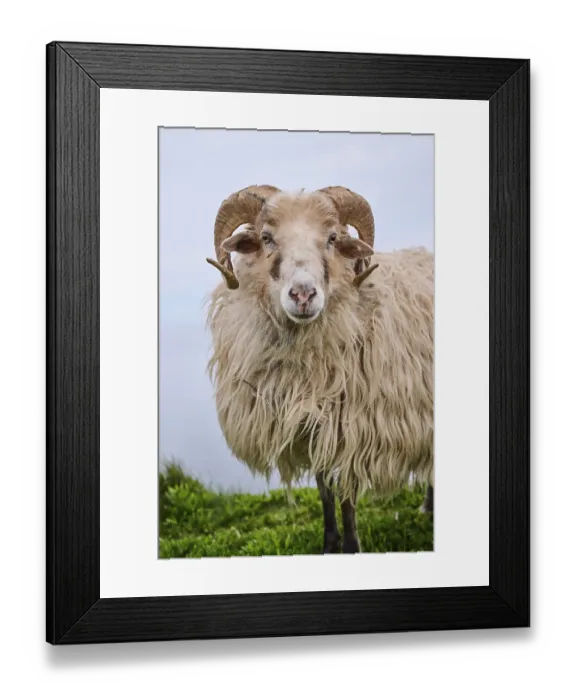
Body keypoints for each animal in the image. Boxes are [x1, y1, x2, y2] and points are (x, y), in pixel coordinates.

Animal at [205, 185, 434, 554]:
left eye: (332, 238)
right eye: (266, 238)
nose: (303, 294)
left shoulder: (352, 428)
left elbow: (346, 495)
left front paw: (351, 547)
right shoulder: (311, 427)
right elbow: (324, 490)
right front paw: (329, 544)